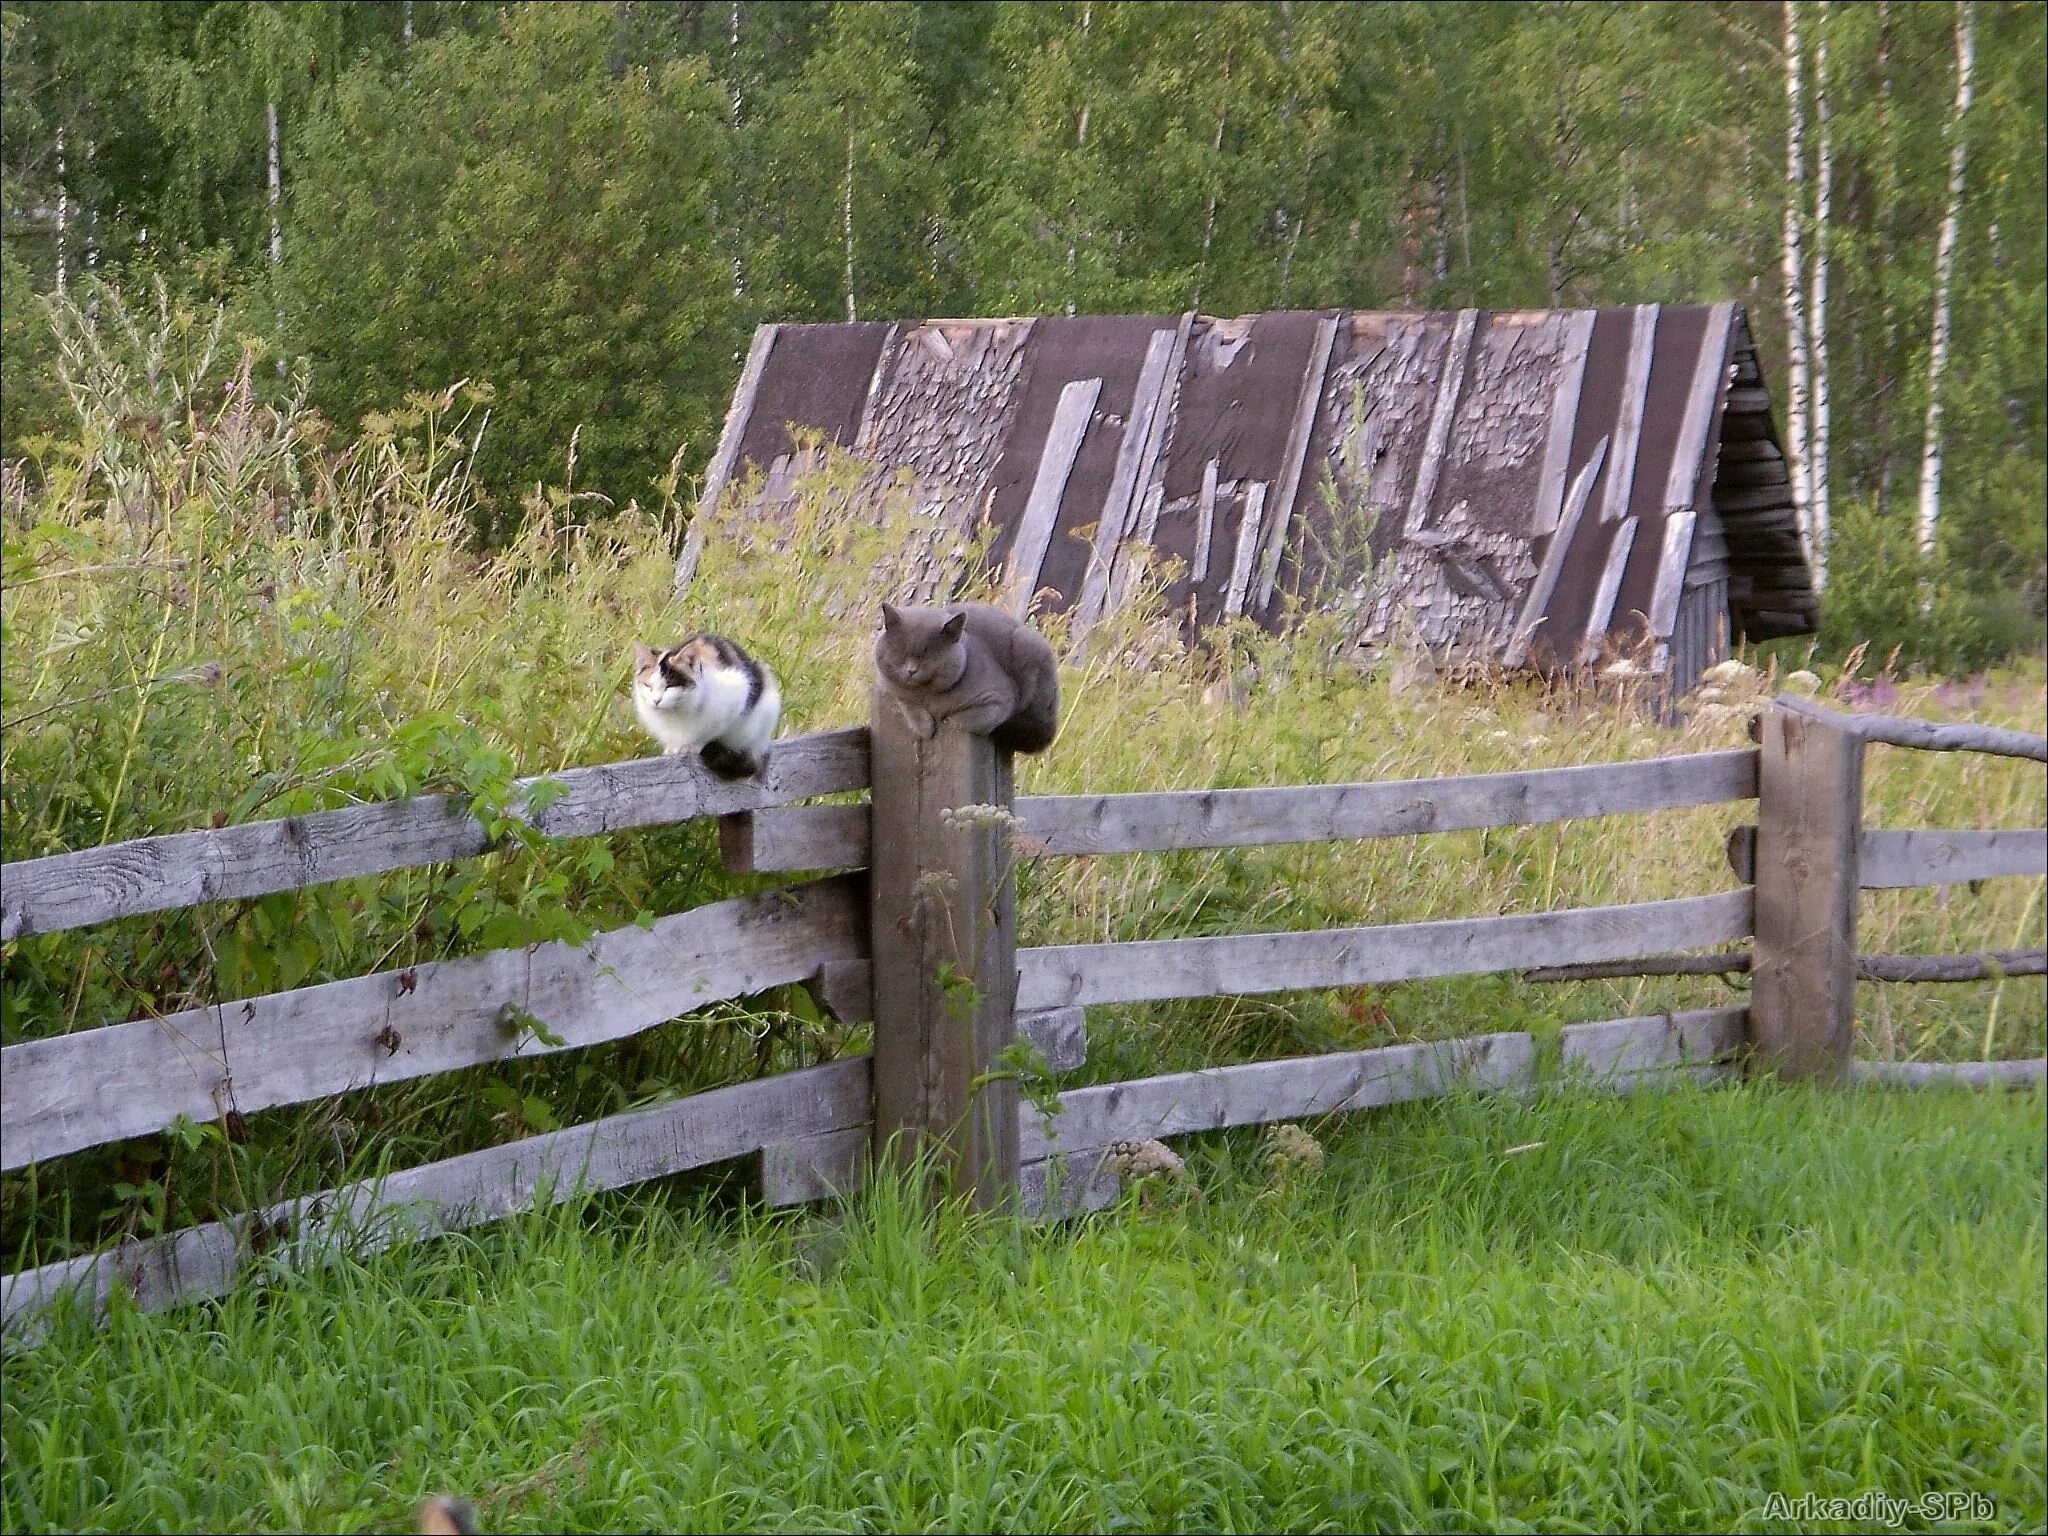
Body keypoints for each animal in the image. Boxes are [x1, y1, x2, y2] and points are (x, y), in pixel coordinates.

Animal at [626, 634, 778, 782]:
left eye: (669, 686)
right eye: (648, 686)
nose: (656, 700)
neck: (676, 711)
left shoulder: (736, 696)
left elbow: (708, 733)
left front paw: (692, 746)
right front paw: (672, 748)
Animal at [868, 598, 1056, 753]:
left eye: (928, 656)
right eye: (900, 652)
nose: (911, 670)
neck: (928, 697)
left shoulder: (1000, 698)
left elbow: (976, 718)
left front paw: (949, 721)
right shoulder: (887, 687)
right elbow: (908, 704)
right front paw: (925, 727)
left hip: (1028, 646)